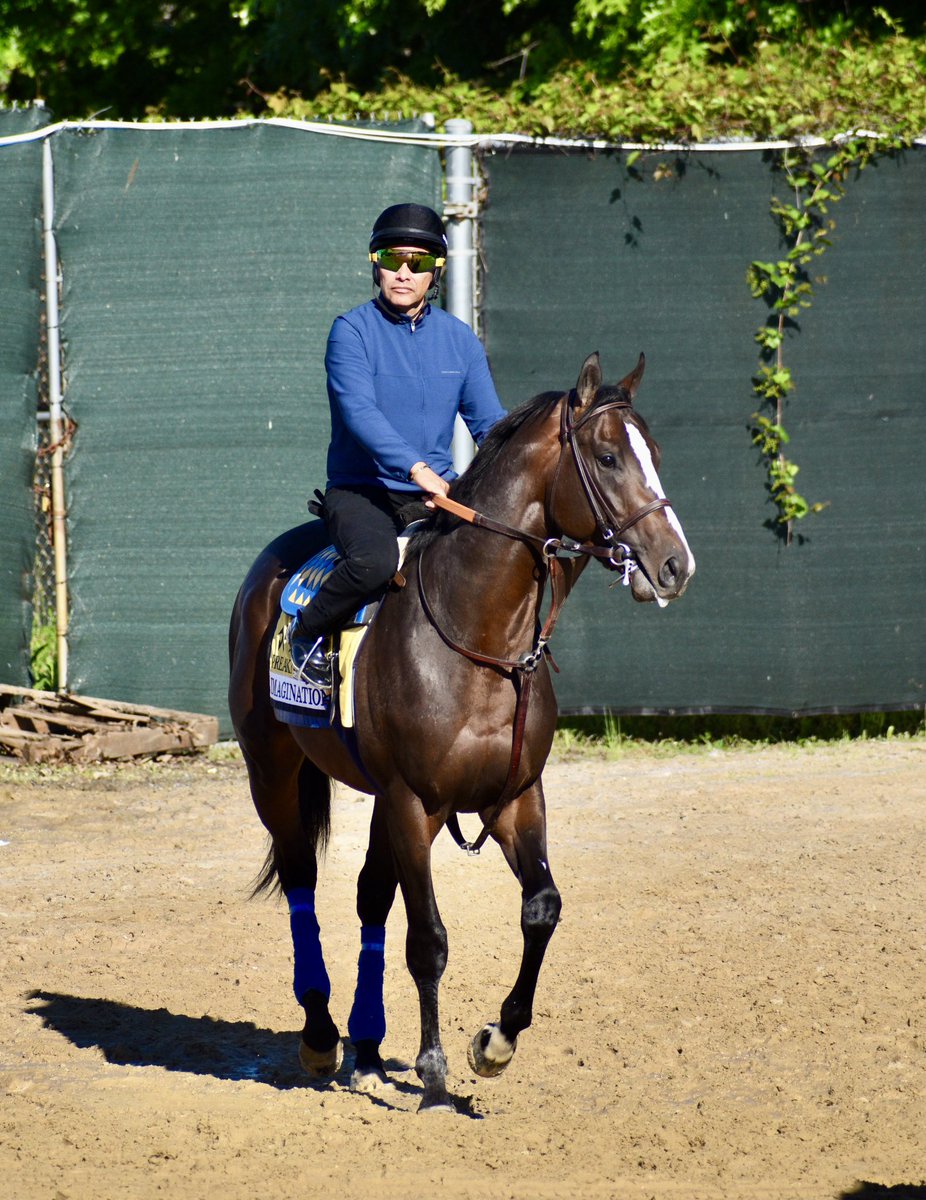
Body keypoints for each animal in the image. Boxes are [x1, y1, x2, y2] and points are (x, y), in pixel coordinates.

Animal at [229, 350, 695, 1108]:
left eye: (652, 454)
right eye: (607, 456)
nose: (676, 564)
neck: (479, 639)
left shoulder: (515, 799)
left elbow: (542, 908)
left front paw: (495, 1042)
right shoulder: (413, 802)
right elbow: (429, 939)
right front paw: (432, 1066)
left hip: (378, 801)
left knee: (369, 896)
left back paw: (365, 1046)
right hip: (273, 771)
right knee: (302, 880)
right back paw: (323, 1037)